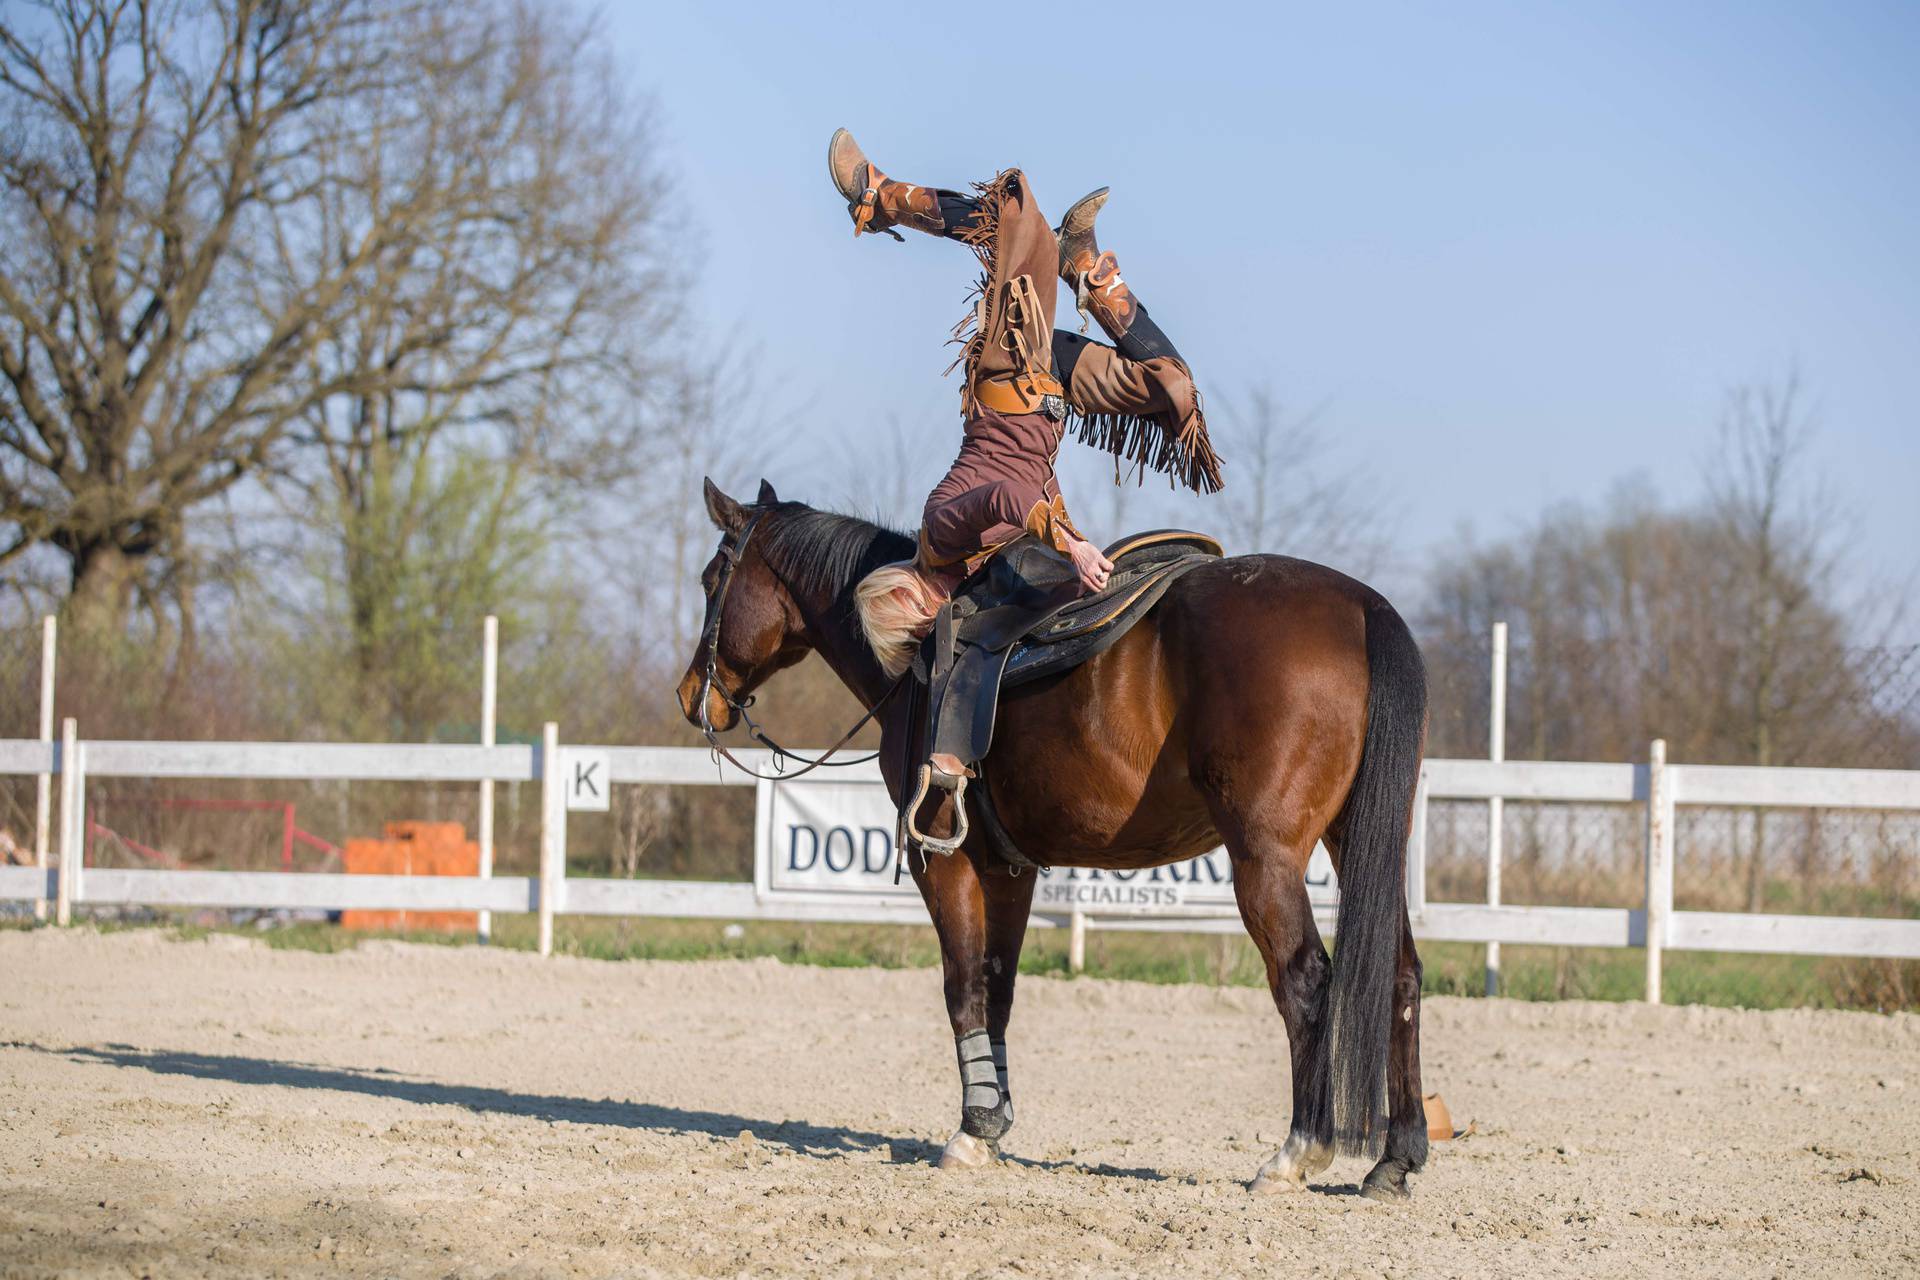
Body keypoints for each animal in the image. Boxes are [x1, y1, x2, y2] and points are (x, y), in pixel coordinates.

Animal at [675, 477, 1428, 1205]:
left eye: (713, 579)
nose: (691, 696)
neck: (915, 654)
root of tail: (1362, 607)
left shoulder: (944, 858)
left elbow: (962, 985)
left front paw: (972, 1130)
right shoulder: (1011, 868)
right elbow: (998, 985)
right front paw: (992, 1118)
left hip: (1265, 861)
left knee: (1305, 982)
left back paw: (1296, 1152)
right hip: (1359, 845)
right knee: (1401, 977)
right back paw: (1395, 1159)